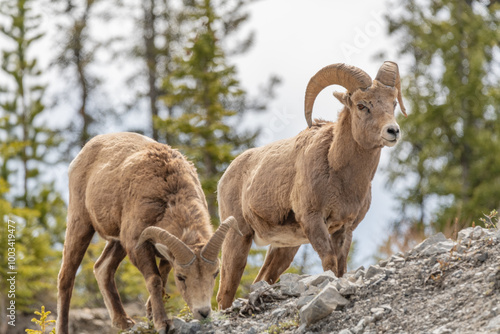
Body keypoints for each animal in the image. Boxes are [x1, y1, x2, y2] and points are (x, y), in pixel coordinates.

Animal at [55, 133, 239, 334]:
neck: (169, 197)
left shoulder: (163, 254)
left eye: (215, 274)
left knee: (102, 268)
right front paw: (162, 323)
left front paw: (151, 317)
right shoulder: (138, 245)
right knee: (66, 277)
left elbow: (163, 279)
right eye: (181, 277)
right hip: (81, 223)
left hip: (118, 242)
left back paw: (124, 322)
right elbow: (155, 280)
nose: (203, 312)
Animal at [216, 61, 406, 310]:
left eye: (393, 103)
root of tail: (226, 174)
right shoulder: (314, 221)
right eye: (362, 105)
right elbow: (330, 263)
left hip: (285, 248)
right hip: (238, 238)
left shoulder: (345, 229)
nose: (393, 131)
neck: (339, 174)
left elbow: (341, 266)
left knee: (262, 278)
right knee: (225, 293)